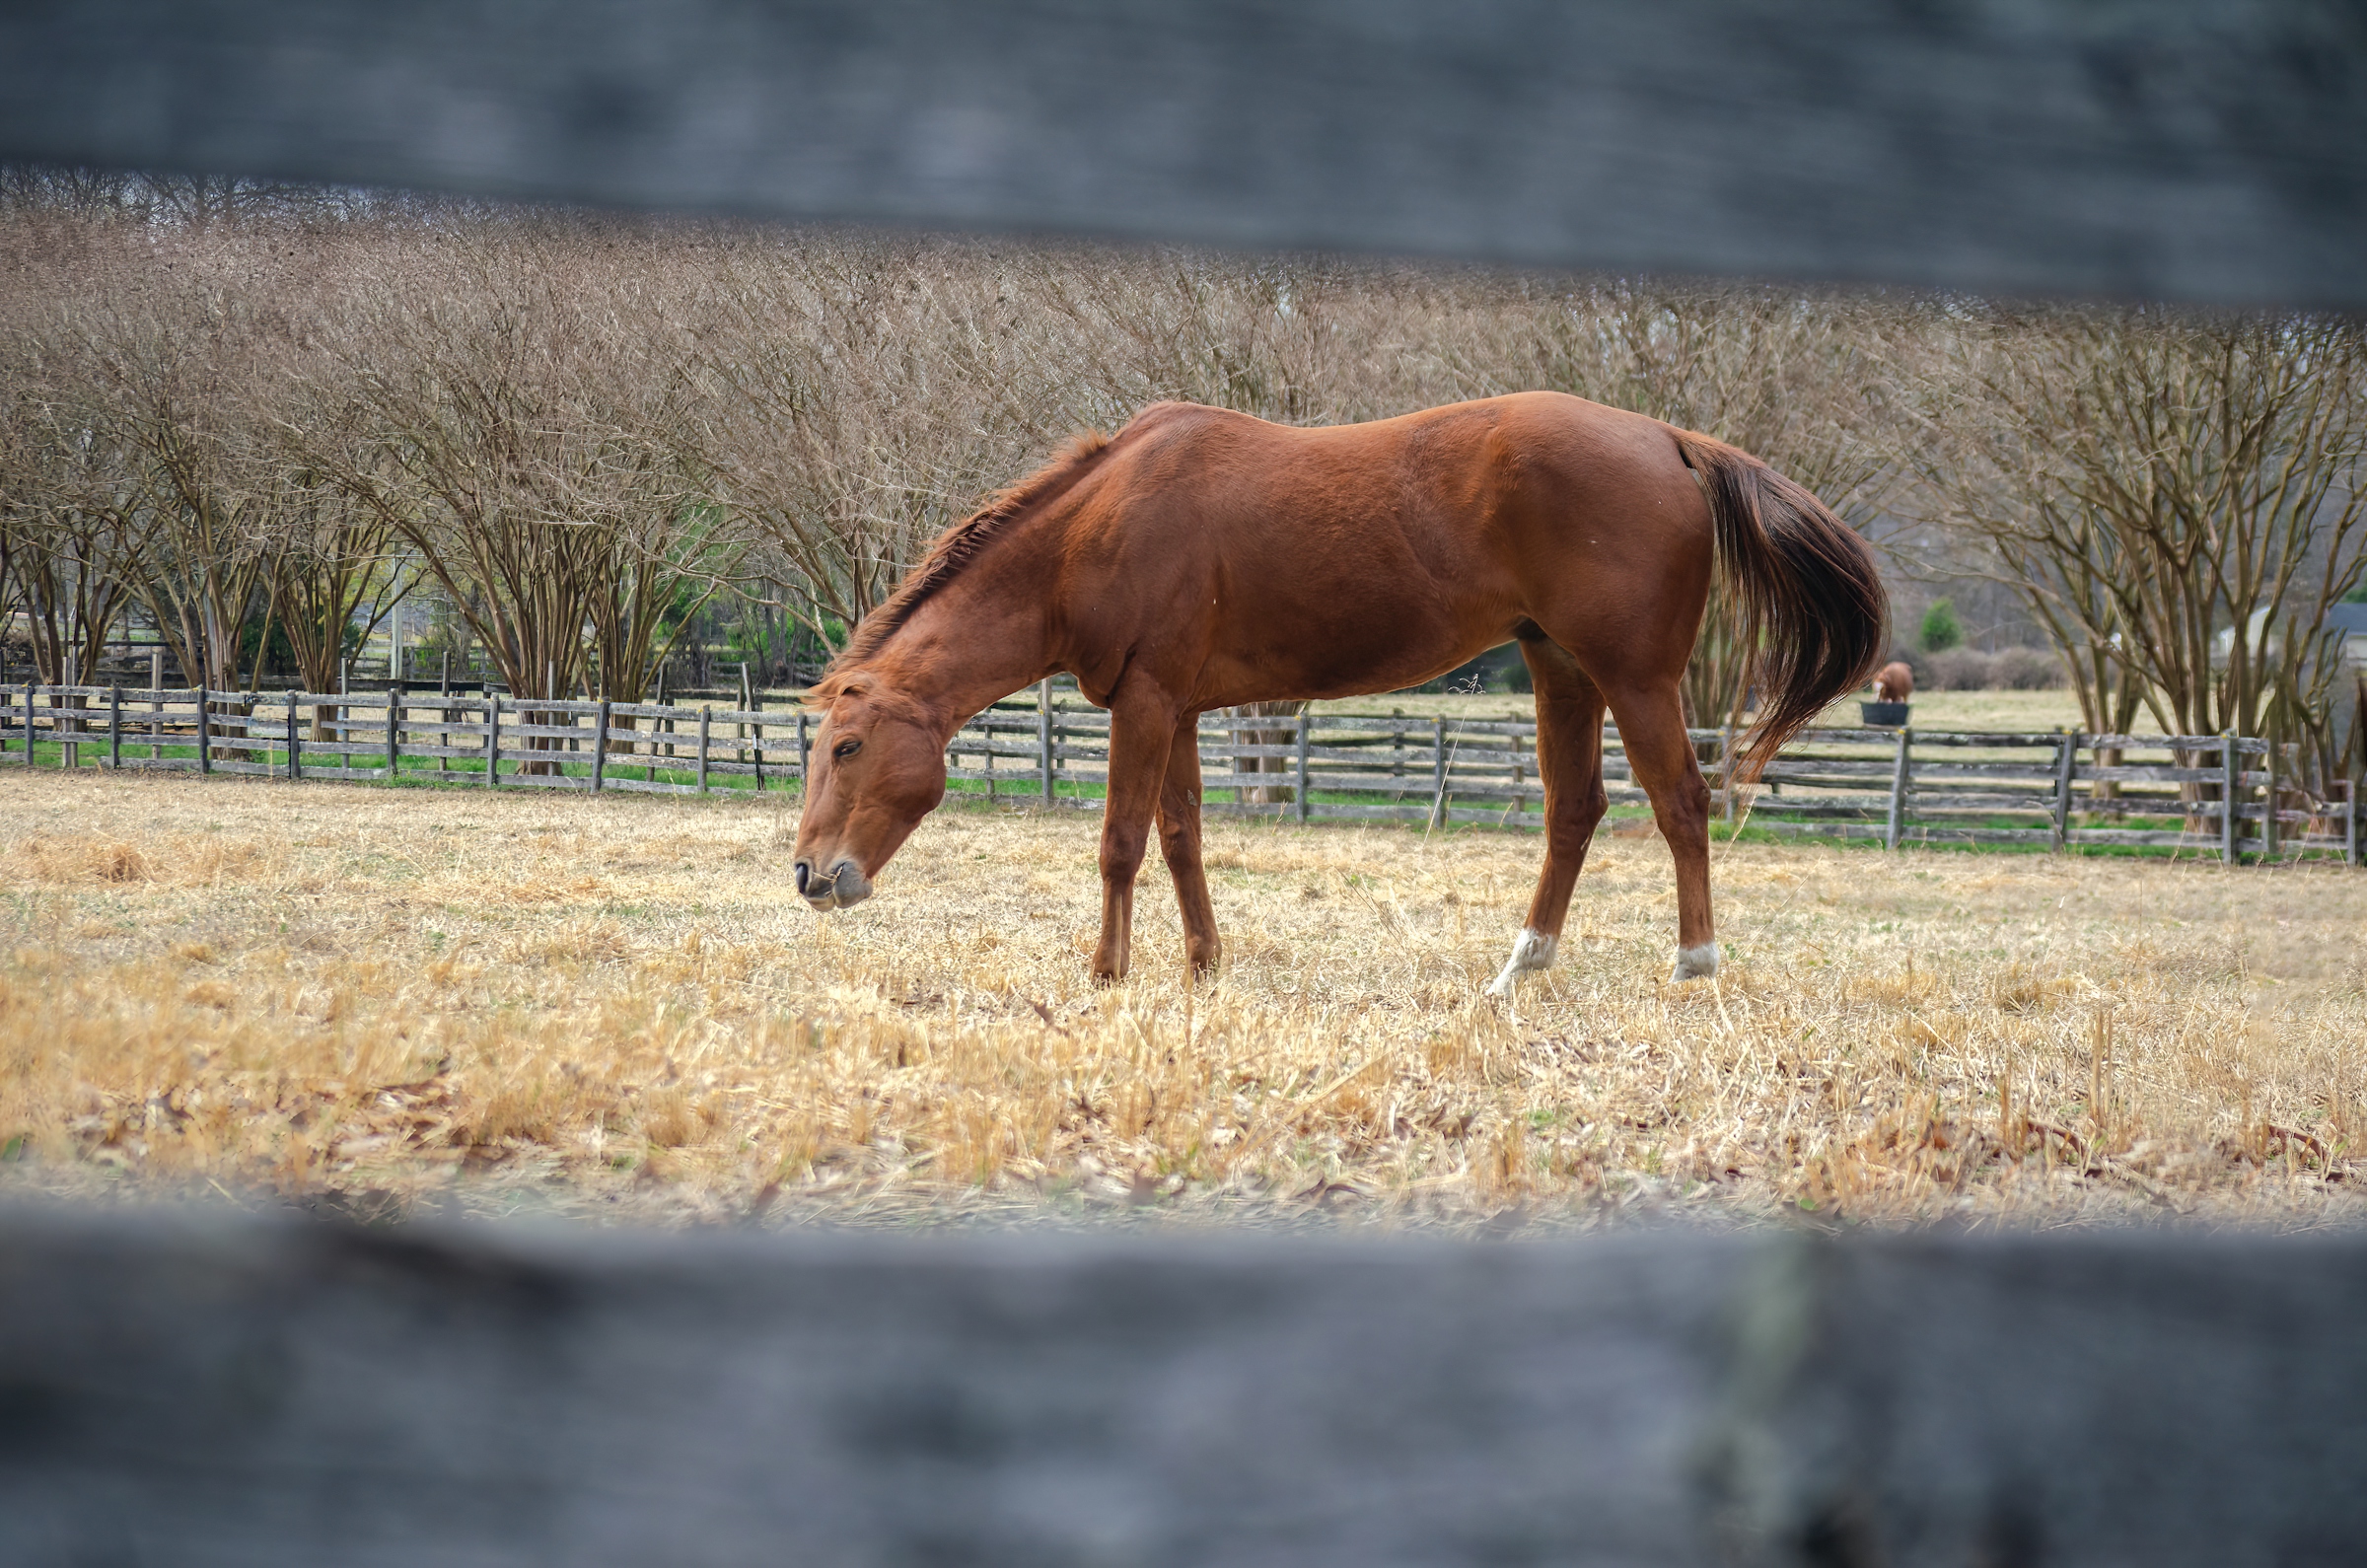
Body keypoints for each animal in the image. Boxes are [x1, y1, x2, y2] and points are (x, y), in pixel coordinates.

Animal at [791, 393, 1885, 990]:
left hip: (1635, 678)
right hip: (1560, 670)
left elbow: (1121, 843)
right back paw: (1518, 971)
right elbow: (1183, 837)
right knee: (1575, 812)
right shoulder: (1176, 709)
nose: (808, 877)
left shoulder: (1144, 704)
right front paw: (1203, 965)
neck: (1096, 530)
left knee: (1682, 804)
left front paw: (1107, 972)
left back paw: (1694, 966)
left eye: (846, 747)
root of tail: (1669, 439)